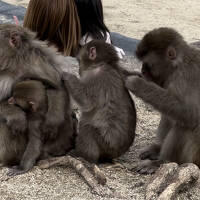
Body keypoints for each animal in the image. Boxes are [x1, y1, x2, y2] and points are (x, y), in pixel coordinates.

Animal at [126, 27, 200, 174]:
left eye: (147, 64)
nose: (142, 71)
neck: (178, 64)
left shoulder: (186, 75)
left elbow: (191, 112)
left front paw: (137, 84)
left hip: (195, 158)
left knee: (187, 124)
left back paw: (162, 162)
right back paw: (158, 150)